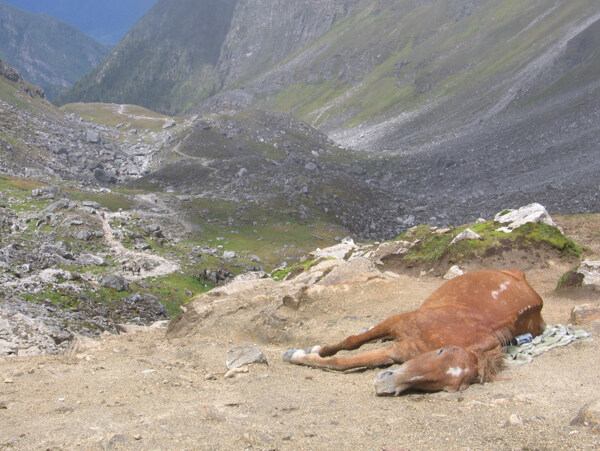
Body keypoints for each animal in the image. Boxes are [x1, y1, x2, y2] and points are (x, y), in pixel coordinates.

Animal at [284, 272, 548, 396]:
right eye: (441, 351)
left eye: (446, 387)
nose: (385, 383)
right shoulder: (397, 321)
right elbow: (351, 343)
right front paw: (307, 351)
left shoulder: (398, 351)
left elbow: (343, 362)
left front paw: (302, 356)